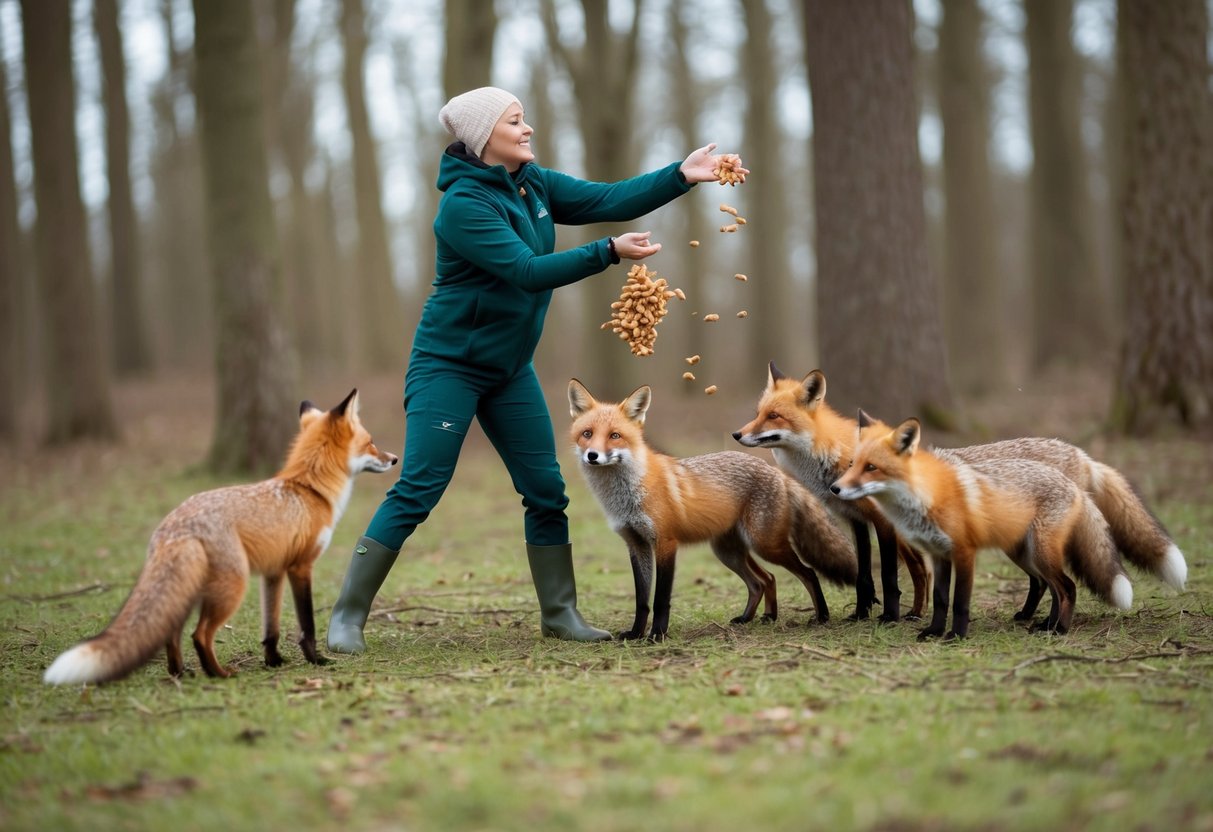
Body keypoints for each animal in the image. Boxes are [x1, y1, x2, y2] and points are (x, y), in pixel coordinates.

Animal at [43, 390, 398, 685]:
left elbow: (271, 627)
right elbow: (307, 624)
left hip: (194, 586)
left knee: (172, 631)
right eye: (371, 442)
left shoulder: (273, 572)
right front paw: (316, 660)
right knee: (199, 635)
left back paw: (180, 672)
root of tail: (175, 523)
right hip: (232, 586)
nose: (395, 458)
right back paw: (218, 673)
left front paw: (273, 661)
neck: (310, 489)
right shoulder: (301, 566)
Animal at [568, 378, 858, 641]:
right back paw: (759, 617)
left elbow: (660, 598)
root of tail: (775, 471)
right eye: (587, 434)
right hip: (728, 552)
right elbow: (641, 599)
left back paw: (821, 616)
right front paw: (636, 633)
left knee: (807, 572)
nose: (592, 456)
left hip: (766, 545)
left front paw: (657, 635)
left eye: (615, 436)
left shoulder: (665, 543)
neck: (625, 496)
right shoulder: (636, 544)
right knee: (764, 580)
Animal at [733, 364, 930, 623]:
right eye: (758, 414)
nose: (736, 434)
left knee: (920, 567)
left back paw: (916, 613)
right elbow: (863, 575)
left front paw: (888, 616)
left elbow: (887, 575)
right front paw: (860, 613)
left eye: (773, 416)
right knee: (920, 567)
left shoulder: (880, 521)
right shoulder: (855, 518)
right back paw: (917, 612)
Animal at [831, 415, 1132, 639]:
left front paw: (955, 636)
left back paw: (1059, 630)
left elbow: (960, 602)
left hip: (1041, 553)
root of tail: (1075, 482)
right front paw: (934, 632)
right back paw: (1044, 624)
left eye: (871, 467)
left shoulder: (964, 552)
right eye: (852, 464)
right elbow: (941, 599)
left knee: (1067, 588)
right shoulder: (938, 554)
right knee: (1048, 585)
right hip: (1024, 552)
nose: (835, 489)